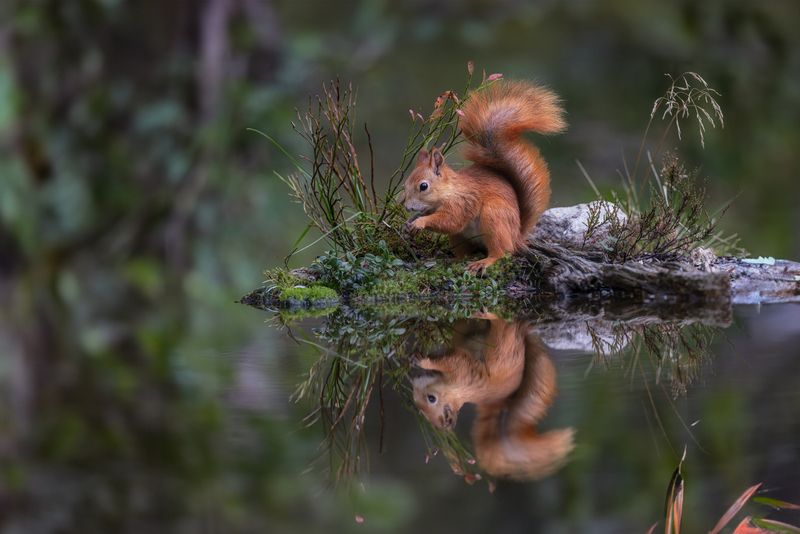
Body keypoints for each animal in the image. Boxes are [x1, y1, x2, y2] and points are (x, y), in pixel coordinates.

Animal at [403, 80, 566, 274]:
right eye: (405, 185)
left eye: (423, 186)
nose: (406, 207)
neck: (449, 190)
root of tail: (517, 235)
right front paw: (410, 222)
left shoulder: (462, 203)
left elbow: (450, 220)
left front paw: (421, 222)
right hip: (460, 237)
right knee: (465, 253)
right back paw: (453, 259)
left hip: (494, 217)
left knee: (503, 251)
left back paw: (485, 262)